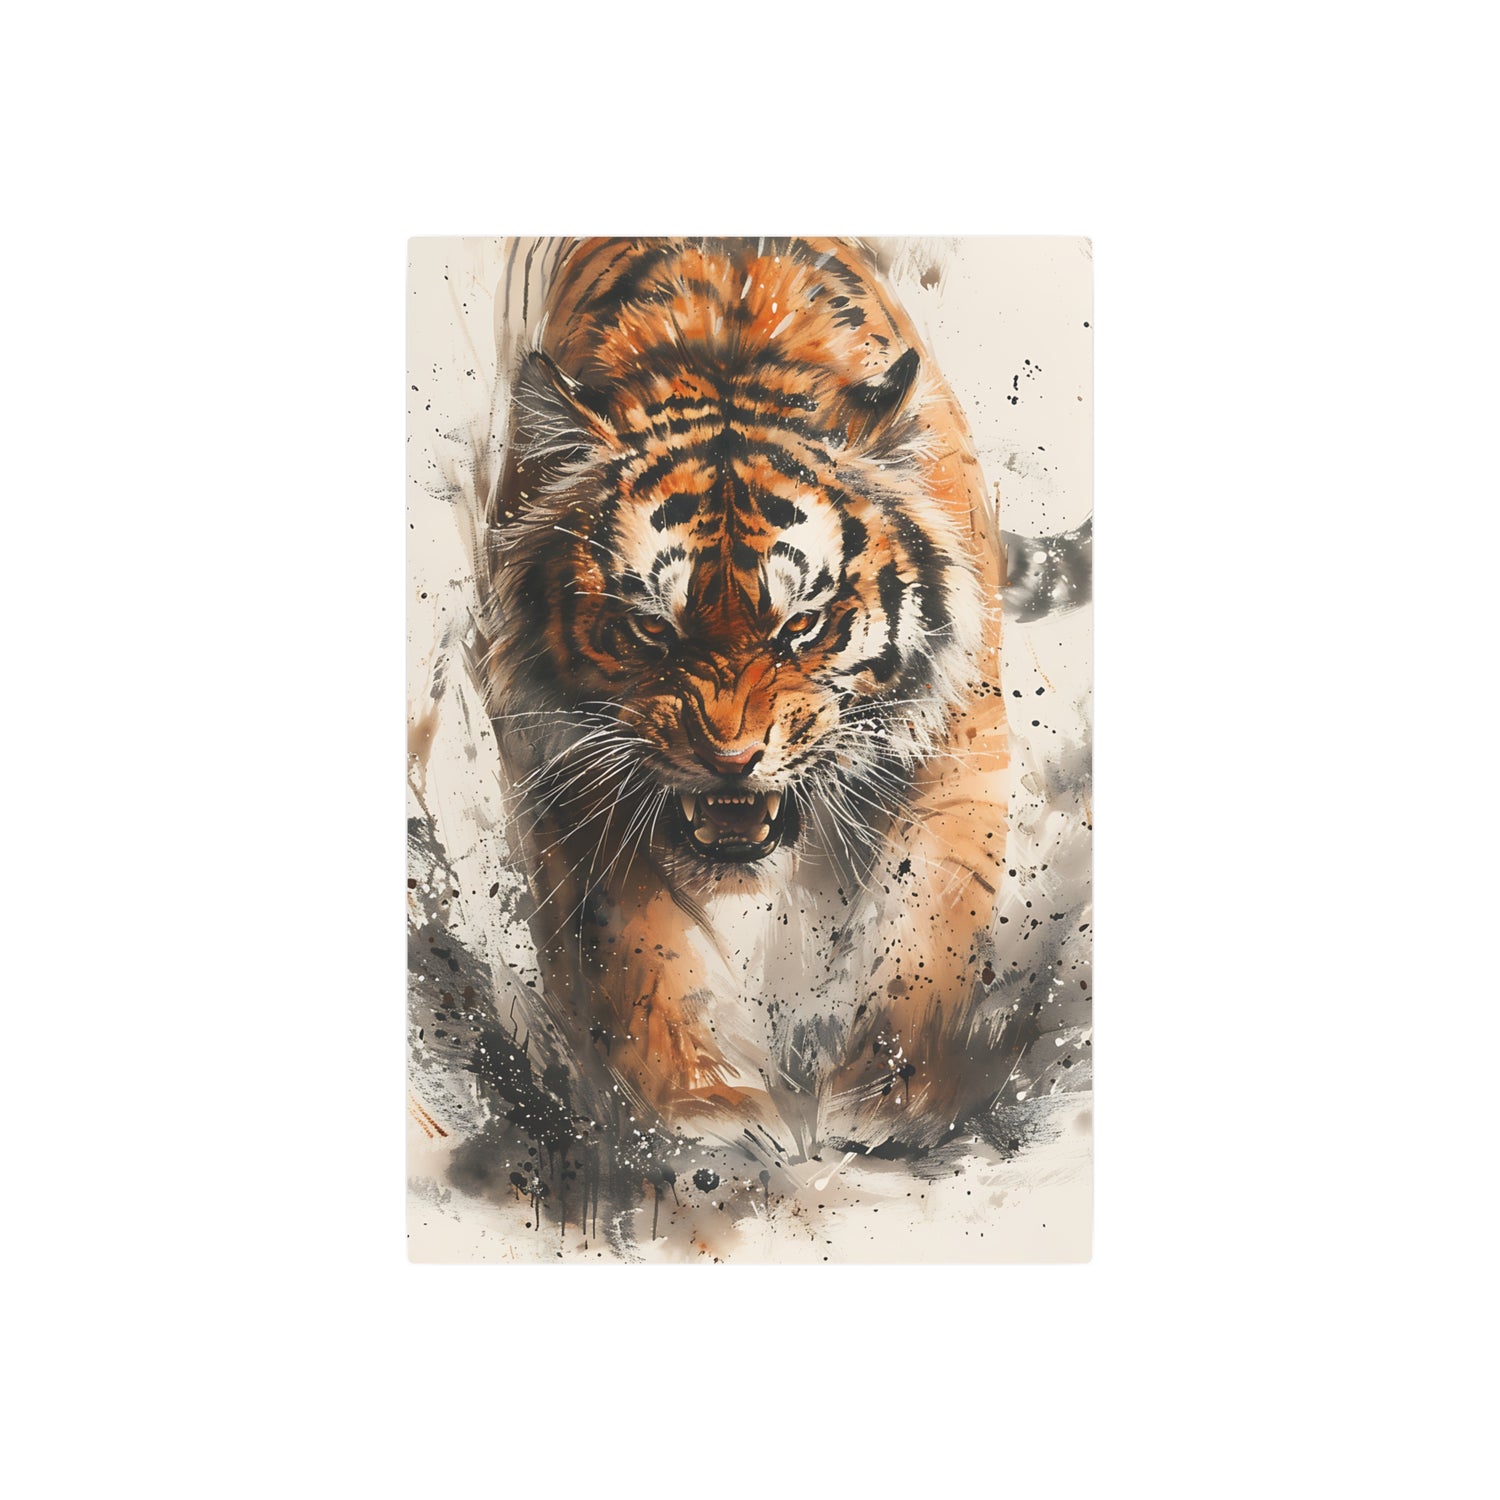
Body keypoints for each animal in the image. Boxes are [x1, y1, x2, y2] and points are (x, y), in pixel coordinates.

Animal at [477, 237, 1010, 1155]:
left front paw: (887, 1096)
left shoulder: (957, 733)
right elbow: (639, 947)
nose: (729, 760)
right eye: (652, 629)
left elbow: (926, 920)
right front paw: (702, 1109)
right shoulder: (568, 764)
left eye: (801, 625)